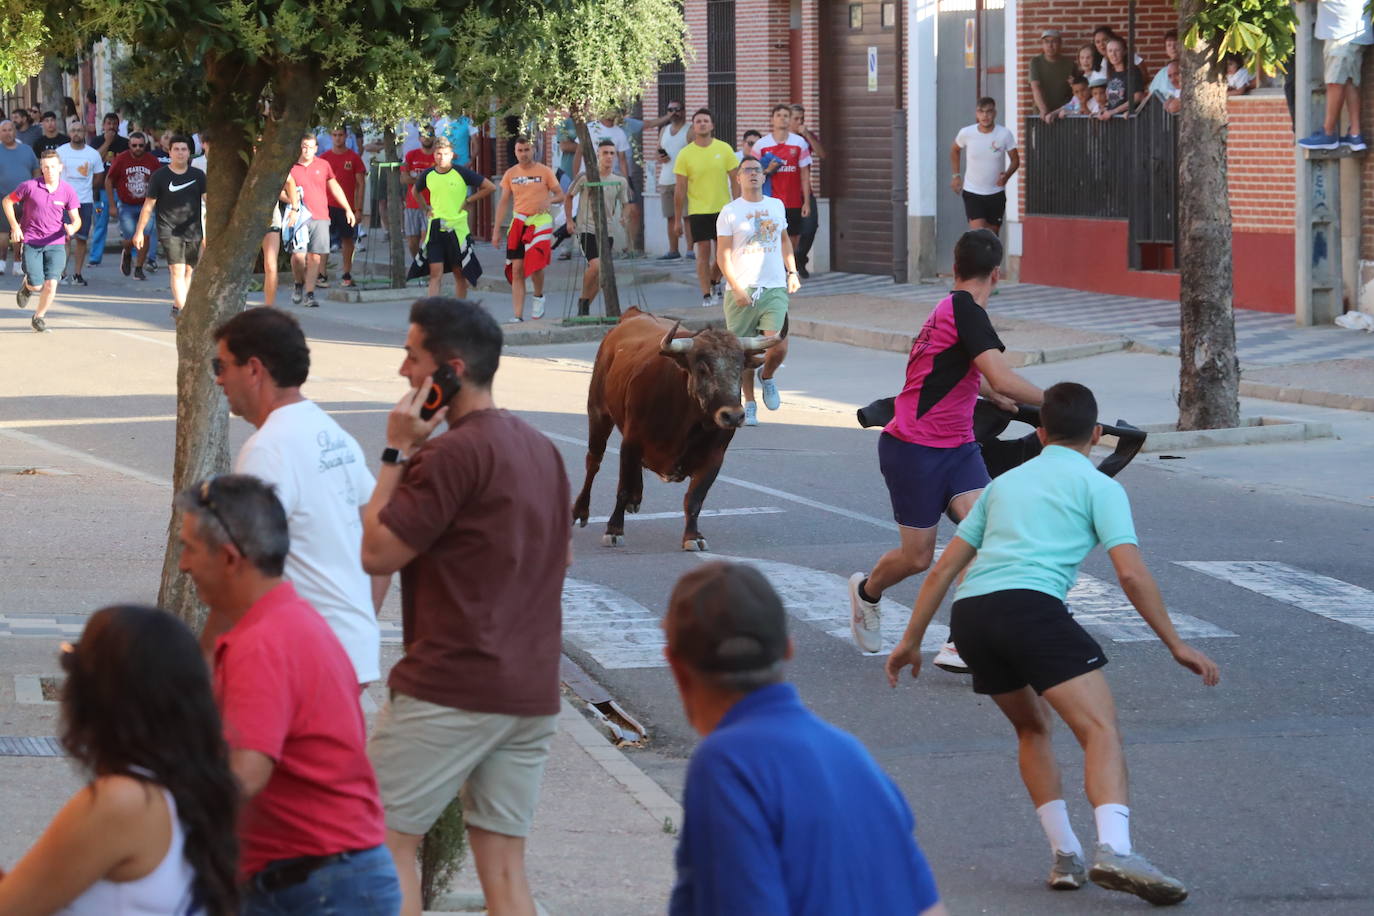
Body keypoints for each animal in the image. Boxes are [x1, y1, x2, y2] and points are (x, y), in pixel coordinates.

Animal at [571, 307, 785, 552]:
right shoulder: (631, 443)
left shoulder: (714, 457)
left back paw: (636, 497)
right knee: (593, 462)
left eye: (740, 368)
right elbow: (622, 488)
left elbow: (695, 498)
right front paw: (614, 529)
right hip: (598, 413)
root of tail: (633, 315)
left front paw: (693, 536)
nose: (733, 416)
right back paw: (580, 510)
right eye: (702, 368)